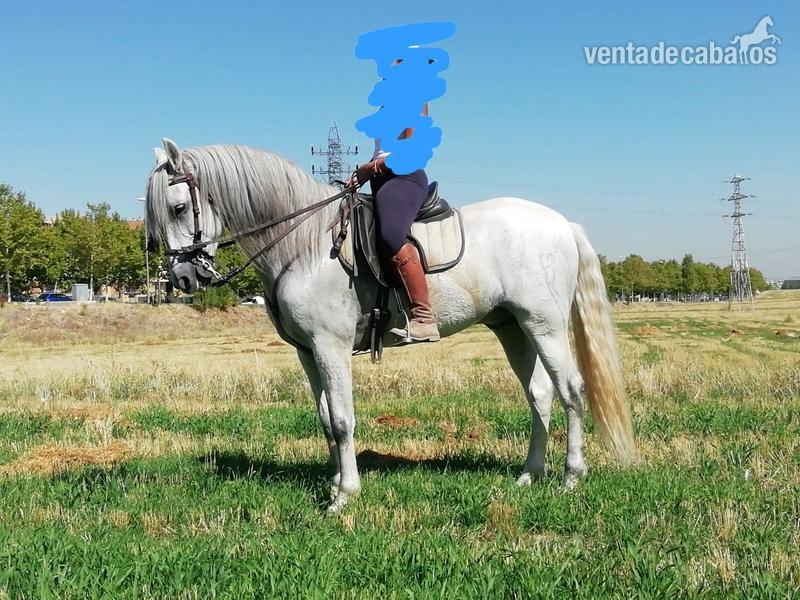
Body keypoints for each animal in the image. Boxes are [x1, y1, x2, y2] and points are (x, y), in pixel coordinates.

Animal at [145, 139, 635, 513]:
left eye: (179, 207)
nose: (183, 279)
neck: (305, 243)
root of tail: (563, 224)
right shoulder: (307, 353)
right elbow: (326, 421)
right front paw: (335, 482)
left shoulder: (331, 347)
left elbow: (343, 420)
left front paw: (344, 496)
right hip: (513, 327)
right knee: (540, 394)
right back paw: (530, 474)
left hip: (544, 325)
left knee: (571, 390)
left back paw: (571, 477)